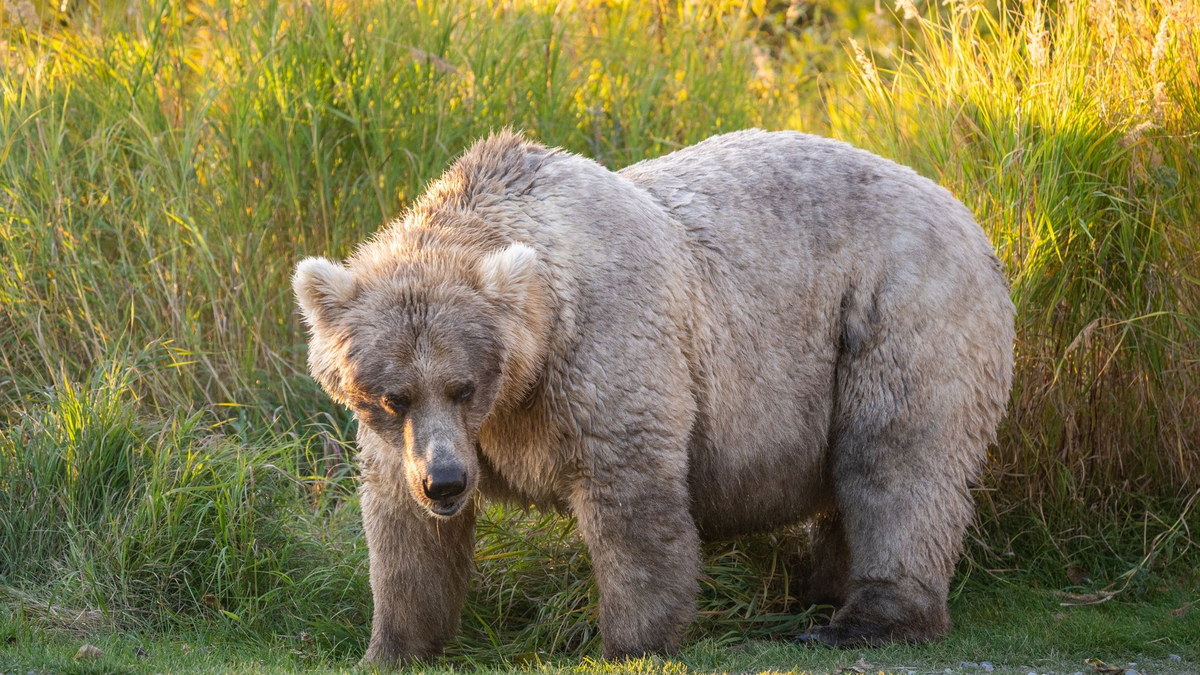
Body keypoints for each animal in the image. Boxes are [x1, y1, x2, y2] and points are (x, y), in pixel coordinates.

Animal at [292, 129, 1015, 665]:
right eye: (392, 395)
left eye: (463, 385)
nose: (445, 481)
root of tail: (965, 210)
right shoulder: (413, 441)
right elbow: (405, 535)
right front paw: (391, 646)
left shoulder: (603, 353)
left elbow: (632, 502)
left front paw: (631, 640)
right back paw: (820, 592)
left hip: (897, 307)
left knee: (897, 461)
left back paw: (860, 618)